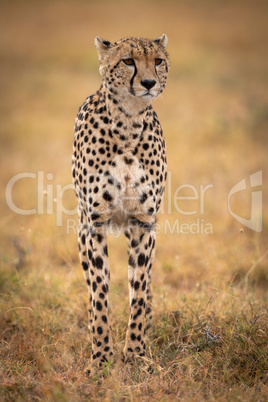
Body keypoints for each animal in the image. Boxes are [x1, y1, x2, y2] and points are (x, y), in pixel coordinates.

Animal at [72, 34, 170, 374]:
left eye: (158, 60)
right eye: (128, 60)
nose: (149, 82)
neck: (128, 123)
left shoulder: (143, 223)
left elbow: (137, 290)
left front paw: (136, 354)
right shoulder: (94, 223)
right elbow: (99, 292)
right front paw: (101, 358)